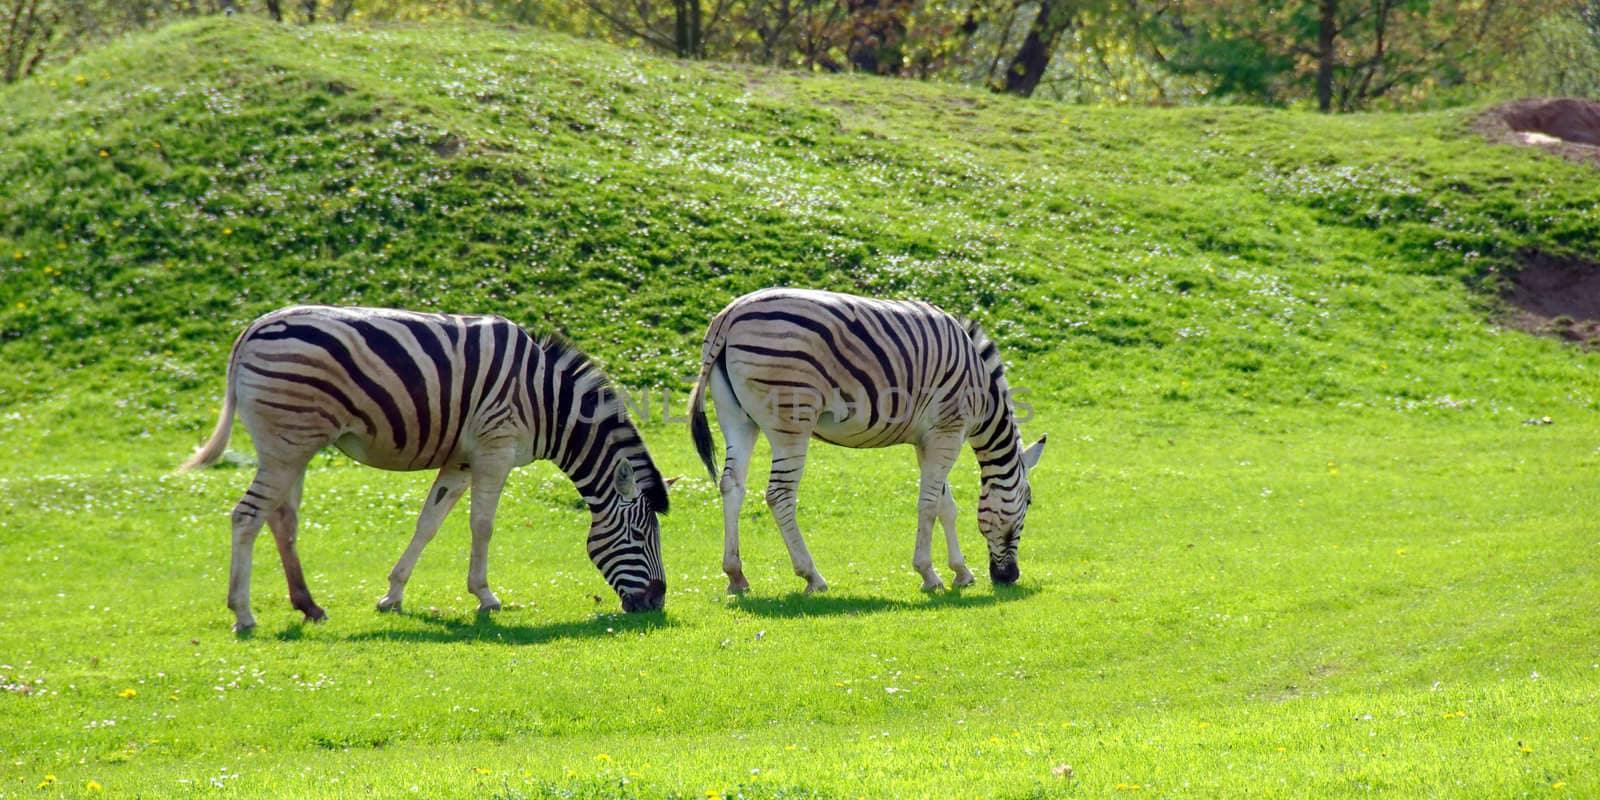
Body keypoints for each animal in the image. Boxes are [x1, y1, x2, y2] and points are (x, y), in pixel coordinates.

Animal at [176, 305, 668, 630]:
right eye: (640, 535)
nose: (657, 603)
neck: (547, 403)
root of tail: (253, 327)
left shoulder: (462, 460)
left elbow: (428, 523)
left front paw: (393, 595)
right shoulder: (495, 450)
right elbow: (482, 526)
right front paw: (486, 597)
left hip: (293, 444)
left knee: (282, 519)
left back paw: (309, 606)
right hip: (288, 441)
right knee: (247, 516)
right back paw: (243, 613)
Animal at [681, 288, 1043, 595]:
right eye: (1028, 502)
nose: (1009, 577)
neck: (981, 389)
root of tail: (730, 314)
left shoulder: (929, 440)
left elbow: (946, 506)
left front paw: (961, 572)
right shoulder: (948, 431)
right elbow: (929, 506)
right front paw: (928, 573)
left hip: (737, 419)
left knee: (732, 485)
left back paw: (736, 575)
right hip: (791, 422)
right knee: (779, 494)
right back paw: (812, 576)